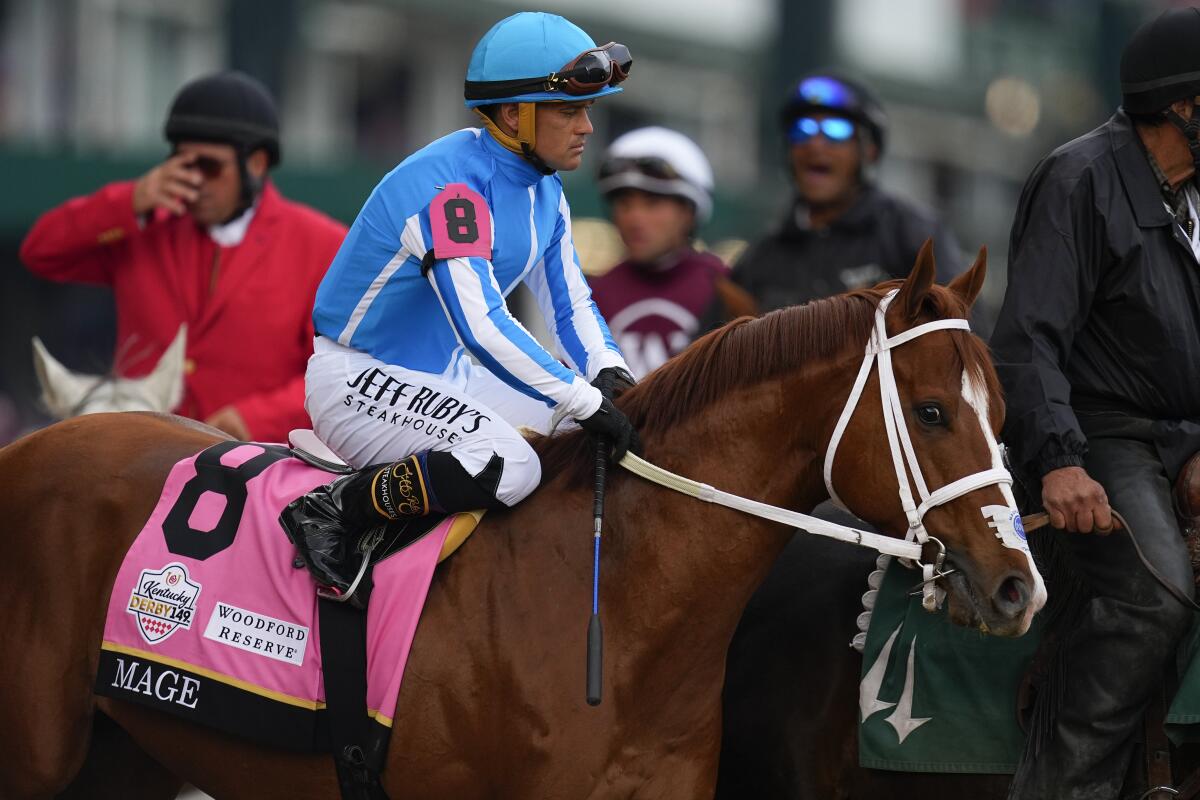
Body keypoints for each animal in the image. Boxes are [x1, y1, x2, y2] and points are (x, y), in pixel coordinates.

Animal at [0, 247, 1041, 796]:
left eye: (1003, 412)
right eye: (933, 412)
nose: (1016, 586)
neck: (618, 612)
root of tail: (26, 450)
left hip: (124, 757)